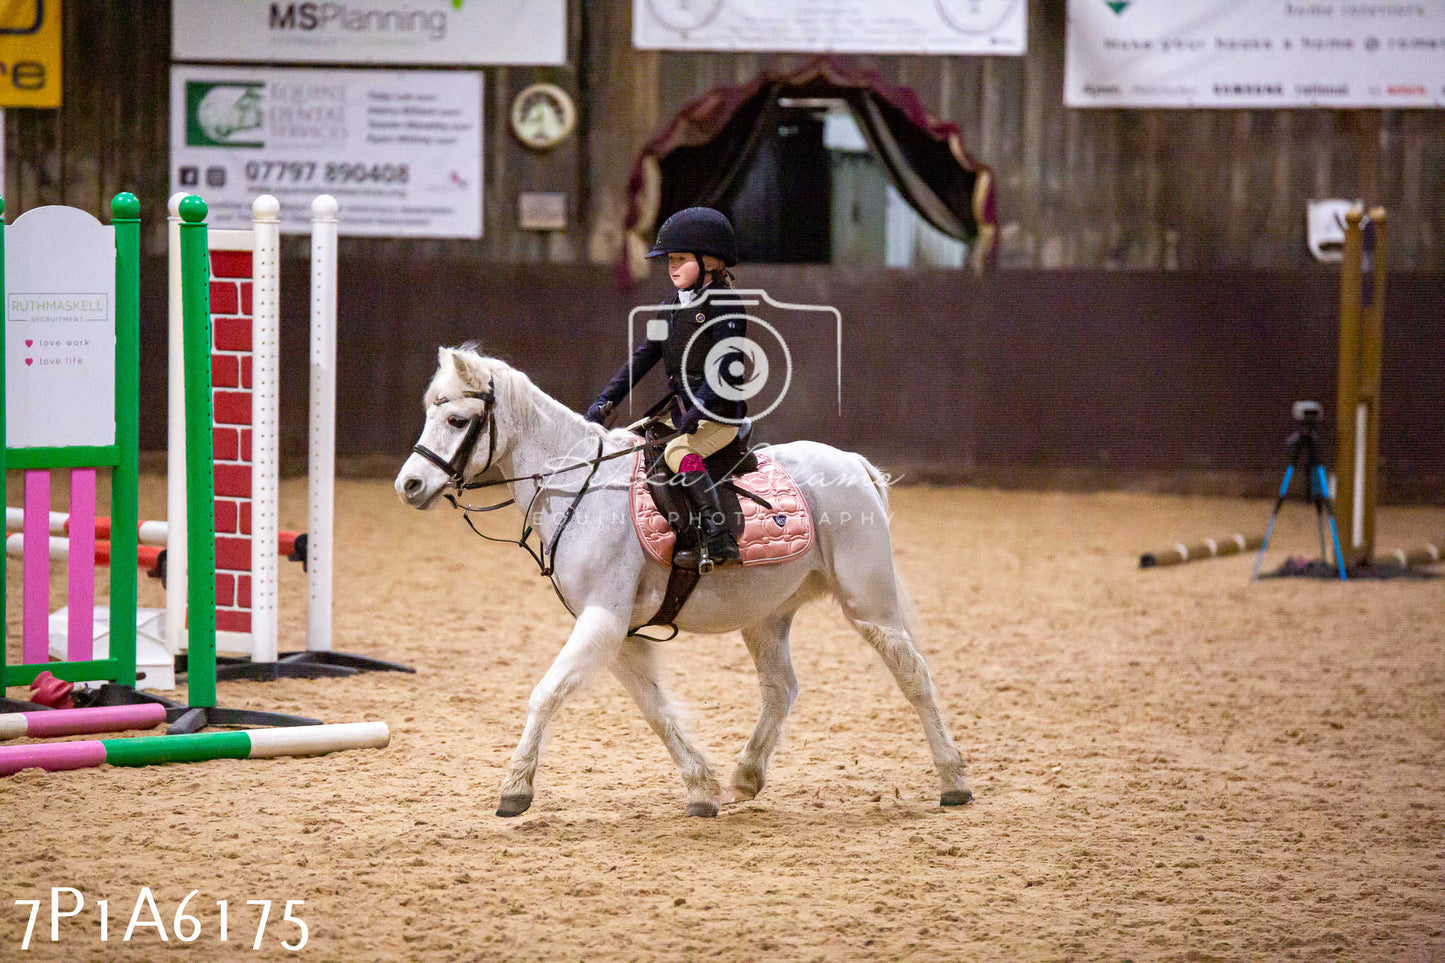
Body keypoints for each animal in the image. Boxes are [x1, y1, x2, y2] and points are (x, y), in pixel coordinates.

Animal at [395, 342, 971, 809]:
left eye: (457, 420)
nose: (409, 484)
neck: (580, 488)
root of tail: (853, 463)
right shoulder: (620, 632)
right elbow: (654, 707)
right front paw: (701, 788)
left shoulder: (602, 621)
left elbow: (547, 692)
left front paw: (515, 789)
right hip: (765, 615)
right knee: (780, 687)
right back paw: (746, 776)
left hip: (869, 604)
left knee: (913, 675)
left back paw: (953, 781)